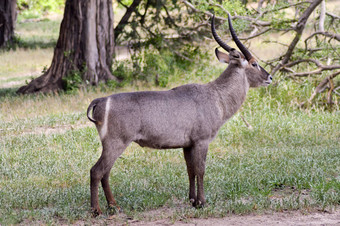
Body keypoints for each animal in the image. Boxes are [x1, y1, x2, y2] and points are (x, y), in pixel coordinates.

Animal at [87, 14, 270, 215]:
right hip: (116, 143)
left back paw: (114, 205)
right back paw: (97, 210)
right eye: (254, 63)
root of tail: (101, 100)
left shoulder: (187, 145)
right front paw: (202, 202)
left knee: (105, 173)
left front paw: (193, 200)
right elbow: (200, 170)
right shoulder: (201, 141)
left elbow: (190, 170)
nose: (270, 77)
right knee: (96, 171)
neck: (216, 96)